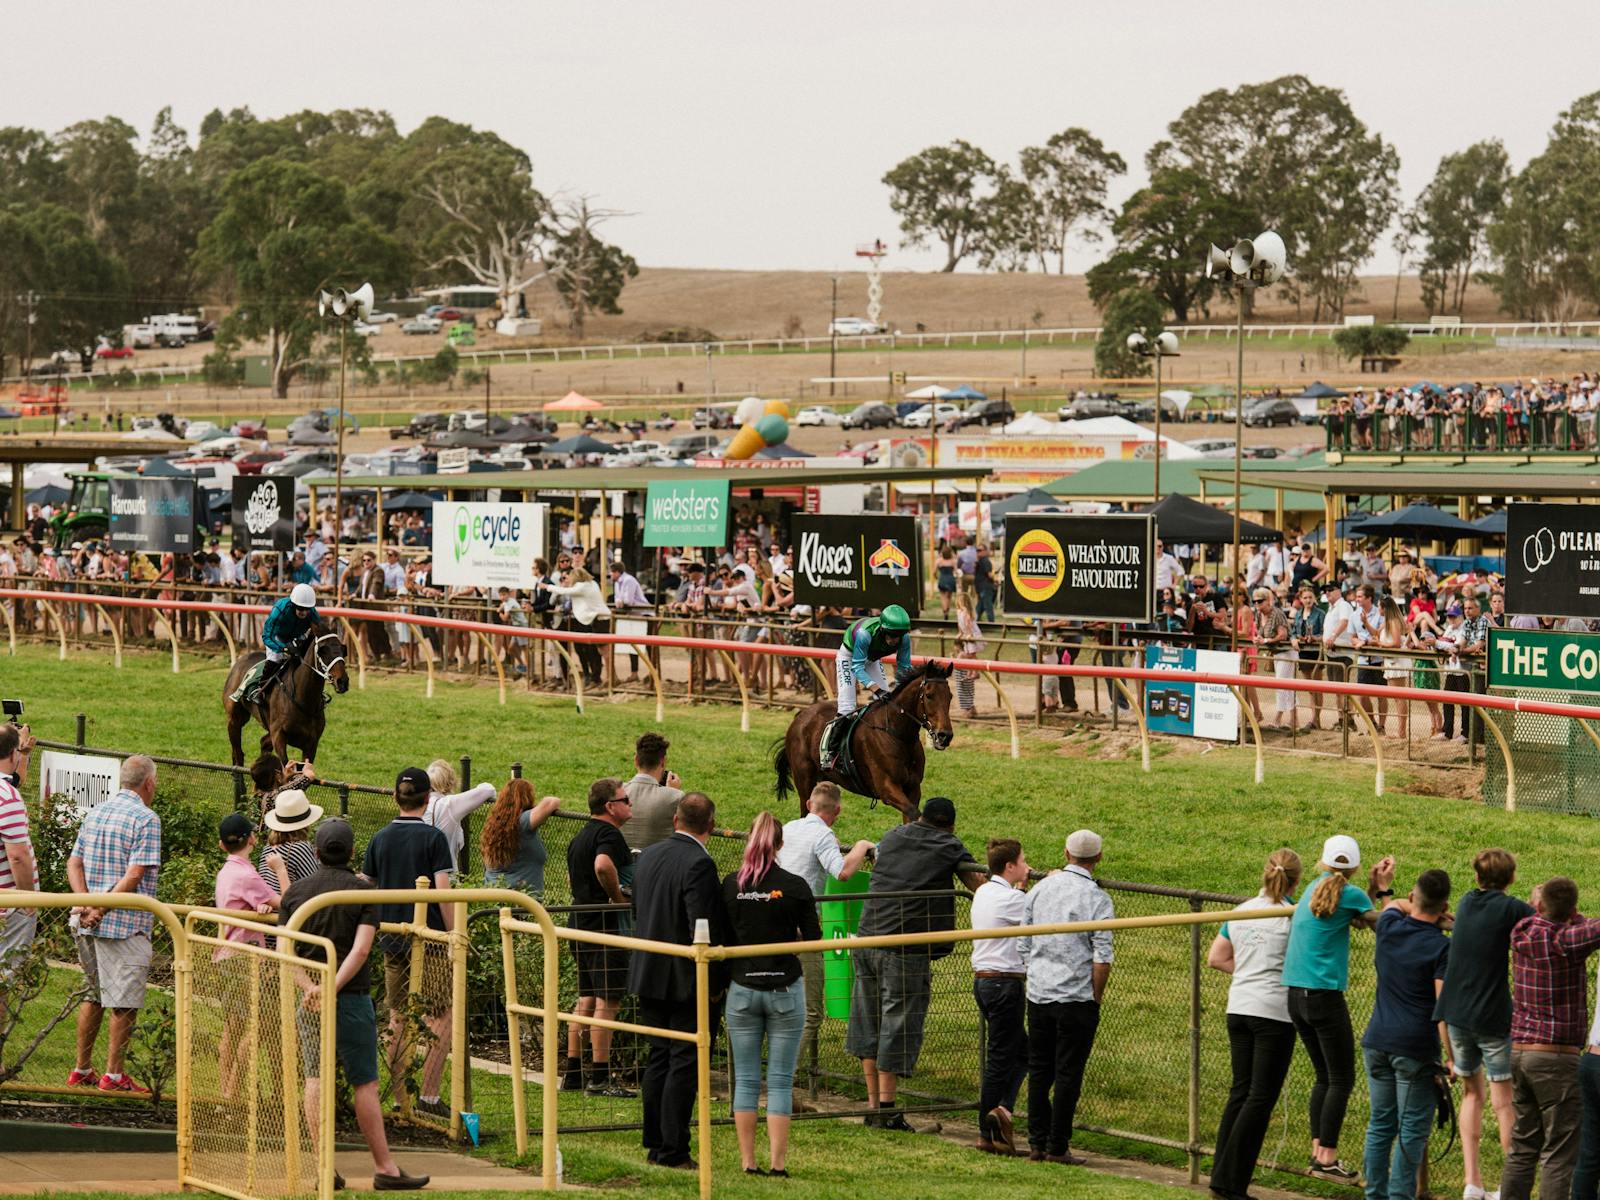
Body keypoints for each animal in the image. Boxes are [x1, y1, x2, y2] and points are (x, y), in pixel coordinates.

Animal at [222, 630, 347, 771]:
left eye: (343, 650)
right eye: (323, 651)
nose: (342, 681)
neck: (303, 699)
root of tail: (242, 659)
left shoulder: (311, 744)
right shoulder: (279, 736)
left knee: (263, 743)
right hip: (235, 719)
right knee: (238, 754)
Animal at [774, 662, 947, 825]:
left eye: (949, 696)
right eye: (929, 696)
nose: (945, 735)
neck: (897, 733)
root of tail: (801, 714)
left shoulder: (913, 788)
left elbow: (911, 816)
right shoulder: (887, 788)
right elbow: (914, 813)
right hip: (804, 781)